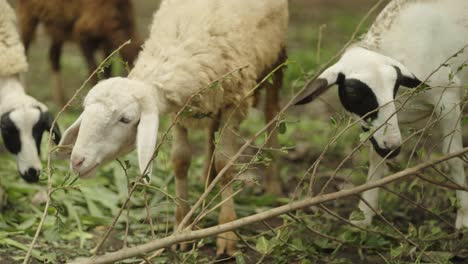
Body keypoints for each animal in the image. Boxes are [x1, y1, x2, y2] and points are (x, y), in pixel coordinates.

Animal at [58, 0, 288, 256]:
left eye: (125, 119)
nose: (76, 160)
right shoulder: (181, 109)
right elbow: (180, 160)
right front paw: (181, 228)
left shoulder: (235, 100)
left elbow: (225, 164)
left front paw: (227, 231)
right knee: (212, 130)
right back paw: (207, 177)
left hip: (276, 55)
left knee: (272, 111)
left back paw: (273, 182)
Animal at [296, 0, 468, 228]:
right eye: (353, 93)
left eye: (394, 85)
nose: (393, 148)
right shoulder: (381, 131)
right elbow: (376, 161)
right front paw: (364, 215)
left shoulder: (447, 98)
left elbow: (453, 157)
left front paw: (464, 217)